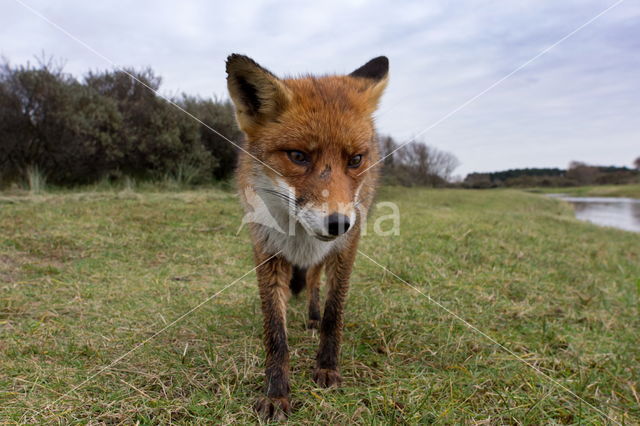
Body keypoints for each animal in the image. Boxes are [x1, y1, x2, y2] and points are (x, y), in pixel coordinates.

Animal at [226, 53, 384, 420]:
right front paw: (276, 394)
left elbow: (334, 313)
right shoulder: (266, 250)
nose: (339, 224)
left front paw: (326, 368)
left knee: (313, 283)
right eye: (299, 156)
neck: (299, 237)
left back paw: (312, 317)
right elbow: (275, 334)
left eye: (356, 159)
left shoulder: (346, 249)